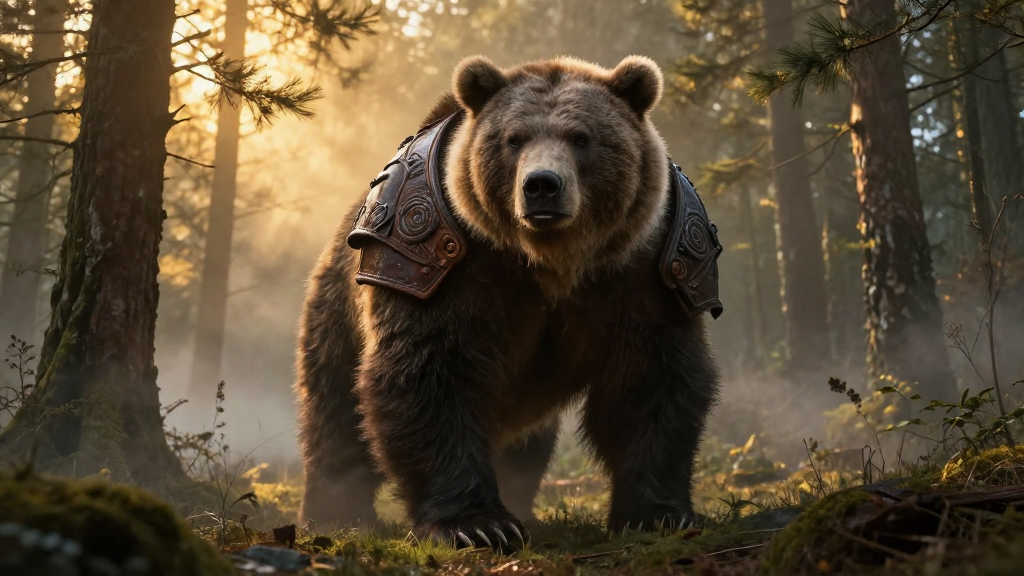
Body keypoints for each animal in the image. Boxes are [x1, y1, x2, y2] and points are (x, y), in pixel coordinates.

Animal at [294, 54, 723, 548]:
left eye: (582, 138)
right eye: (513, 138)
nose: (542, 186)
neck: (551, 260)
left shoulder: (646, 269)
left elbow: (651, 380)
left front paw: (658, 514)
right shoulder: (446, 261)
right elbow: (430, 371)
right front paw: (478, 524)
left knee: (529, 442)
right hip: (342, 303)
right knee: (337, 414)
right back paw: (336, 514)